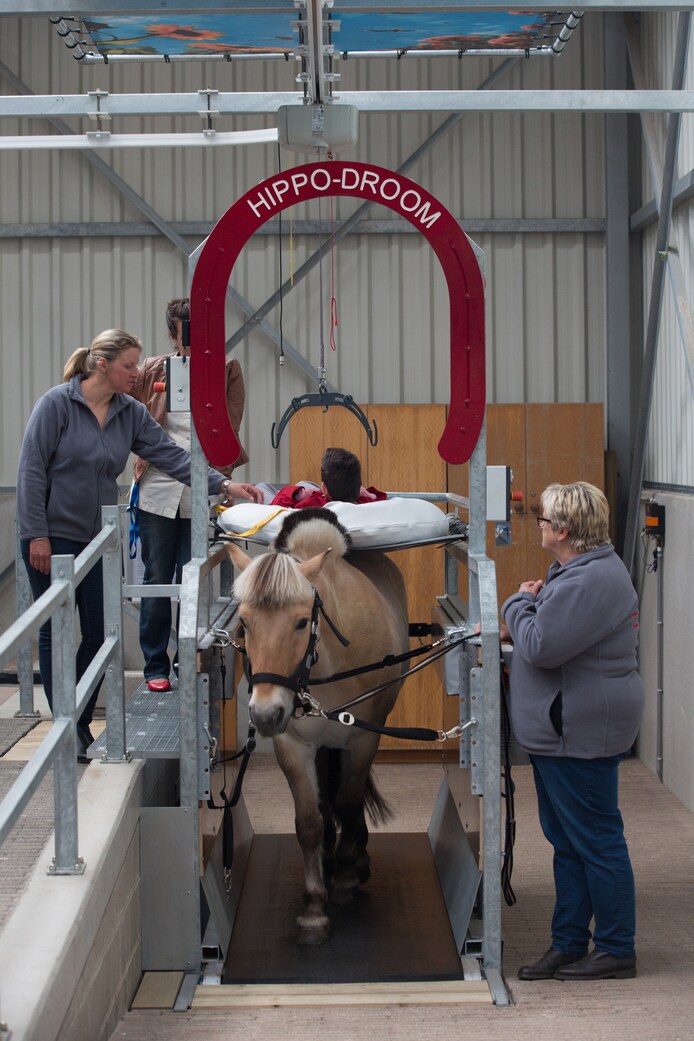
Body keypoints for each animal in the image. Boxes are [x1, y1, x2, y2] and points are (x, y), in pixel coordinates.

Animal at [227, 508, 409, 945]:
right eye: (245, 622)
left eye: (299, 622)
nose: (265, 714)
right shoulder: (293, 746)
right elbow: (309, 820)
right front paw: (313, 909)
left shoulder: (361, 740)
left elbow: (348, 801)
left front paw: (345, 878)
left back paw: (354, 857)